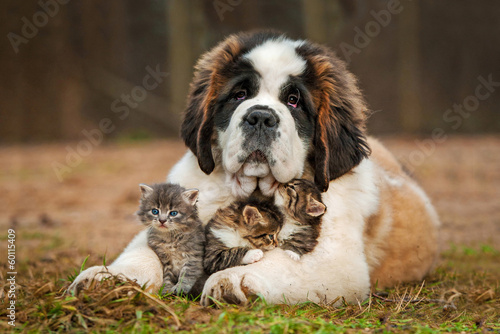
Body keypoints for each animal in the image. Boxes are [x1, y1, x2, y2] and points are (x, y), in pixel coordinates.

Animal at [68, 31, 440, 306]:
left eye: (294, 101)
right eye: (239, 95)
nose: (260, 116)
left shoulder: (337, 259)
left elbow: (275, 258)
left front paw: (232, 281)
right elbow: (142, 253)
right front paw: (107, 279)